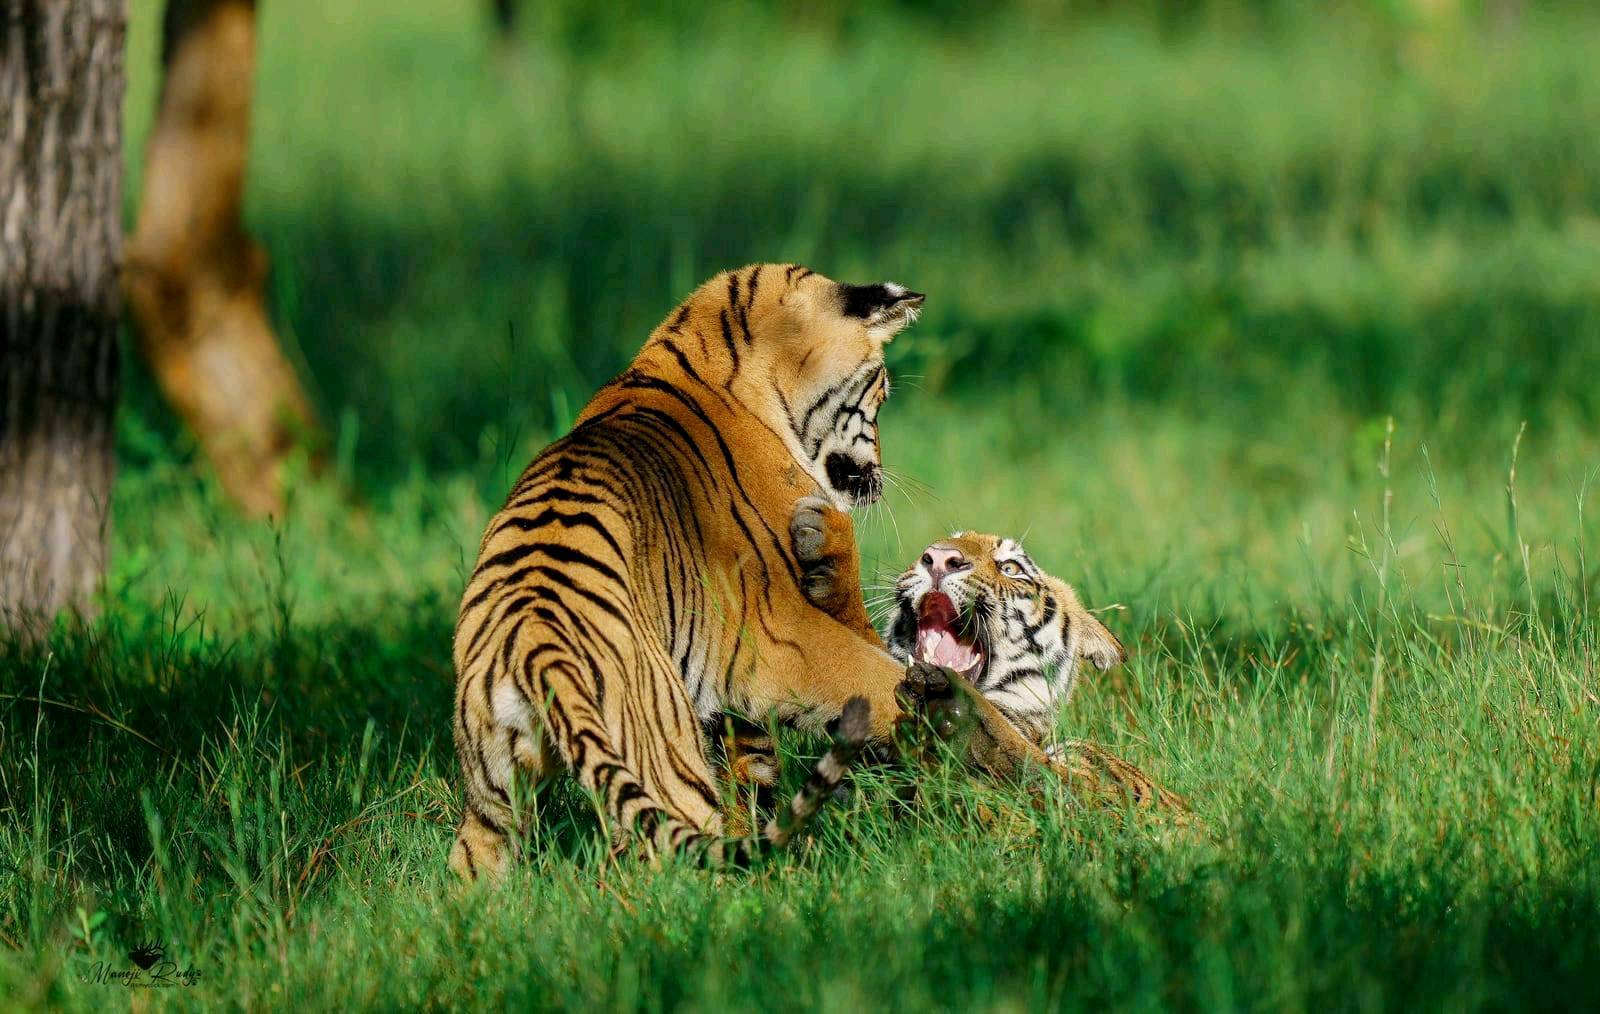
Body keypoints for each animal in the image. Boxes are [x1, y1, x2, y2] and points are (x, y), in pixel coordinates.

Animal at [449, 264, 1045, 878]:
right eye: (880, 389)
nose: (879, 475)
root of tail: (536, 647)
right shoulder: (778, 636)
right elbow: (876, 667)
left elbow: (752, 767)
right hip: (664, 764)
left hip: (492, 796)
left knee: (474, 855)